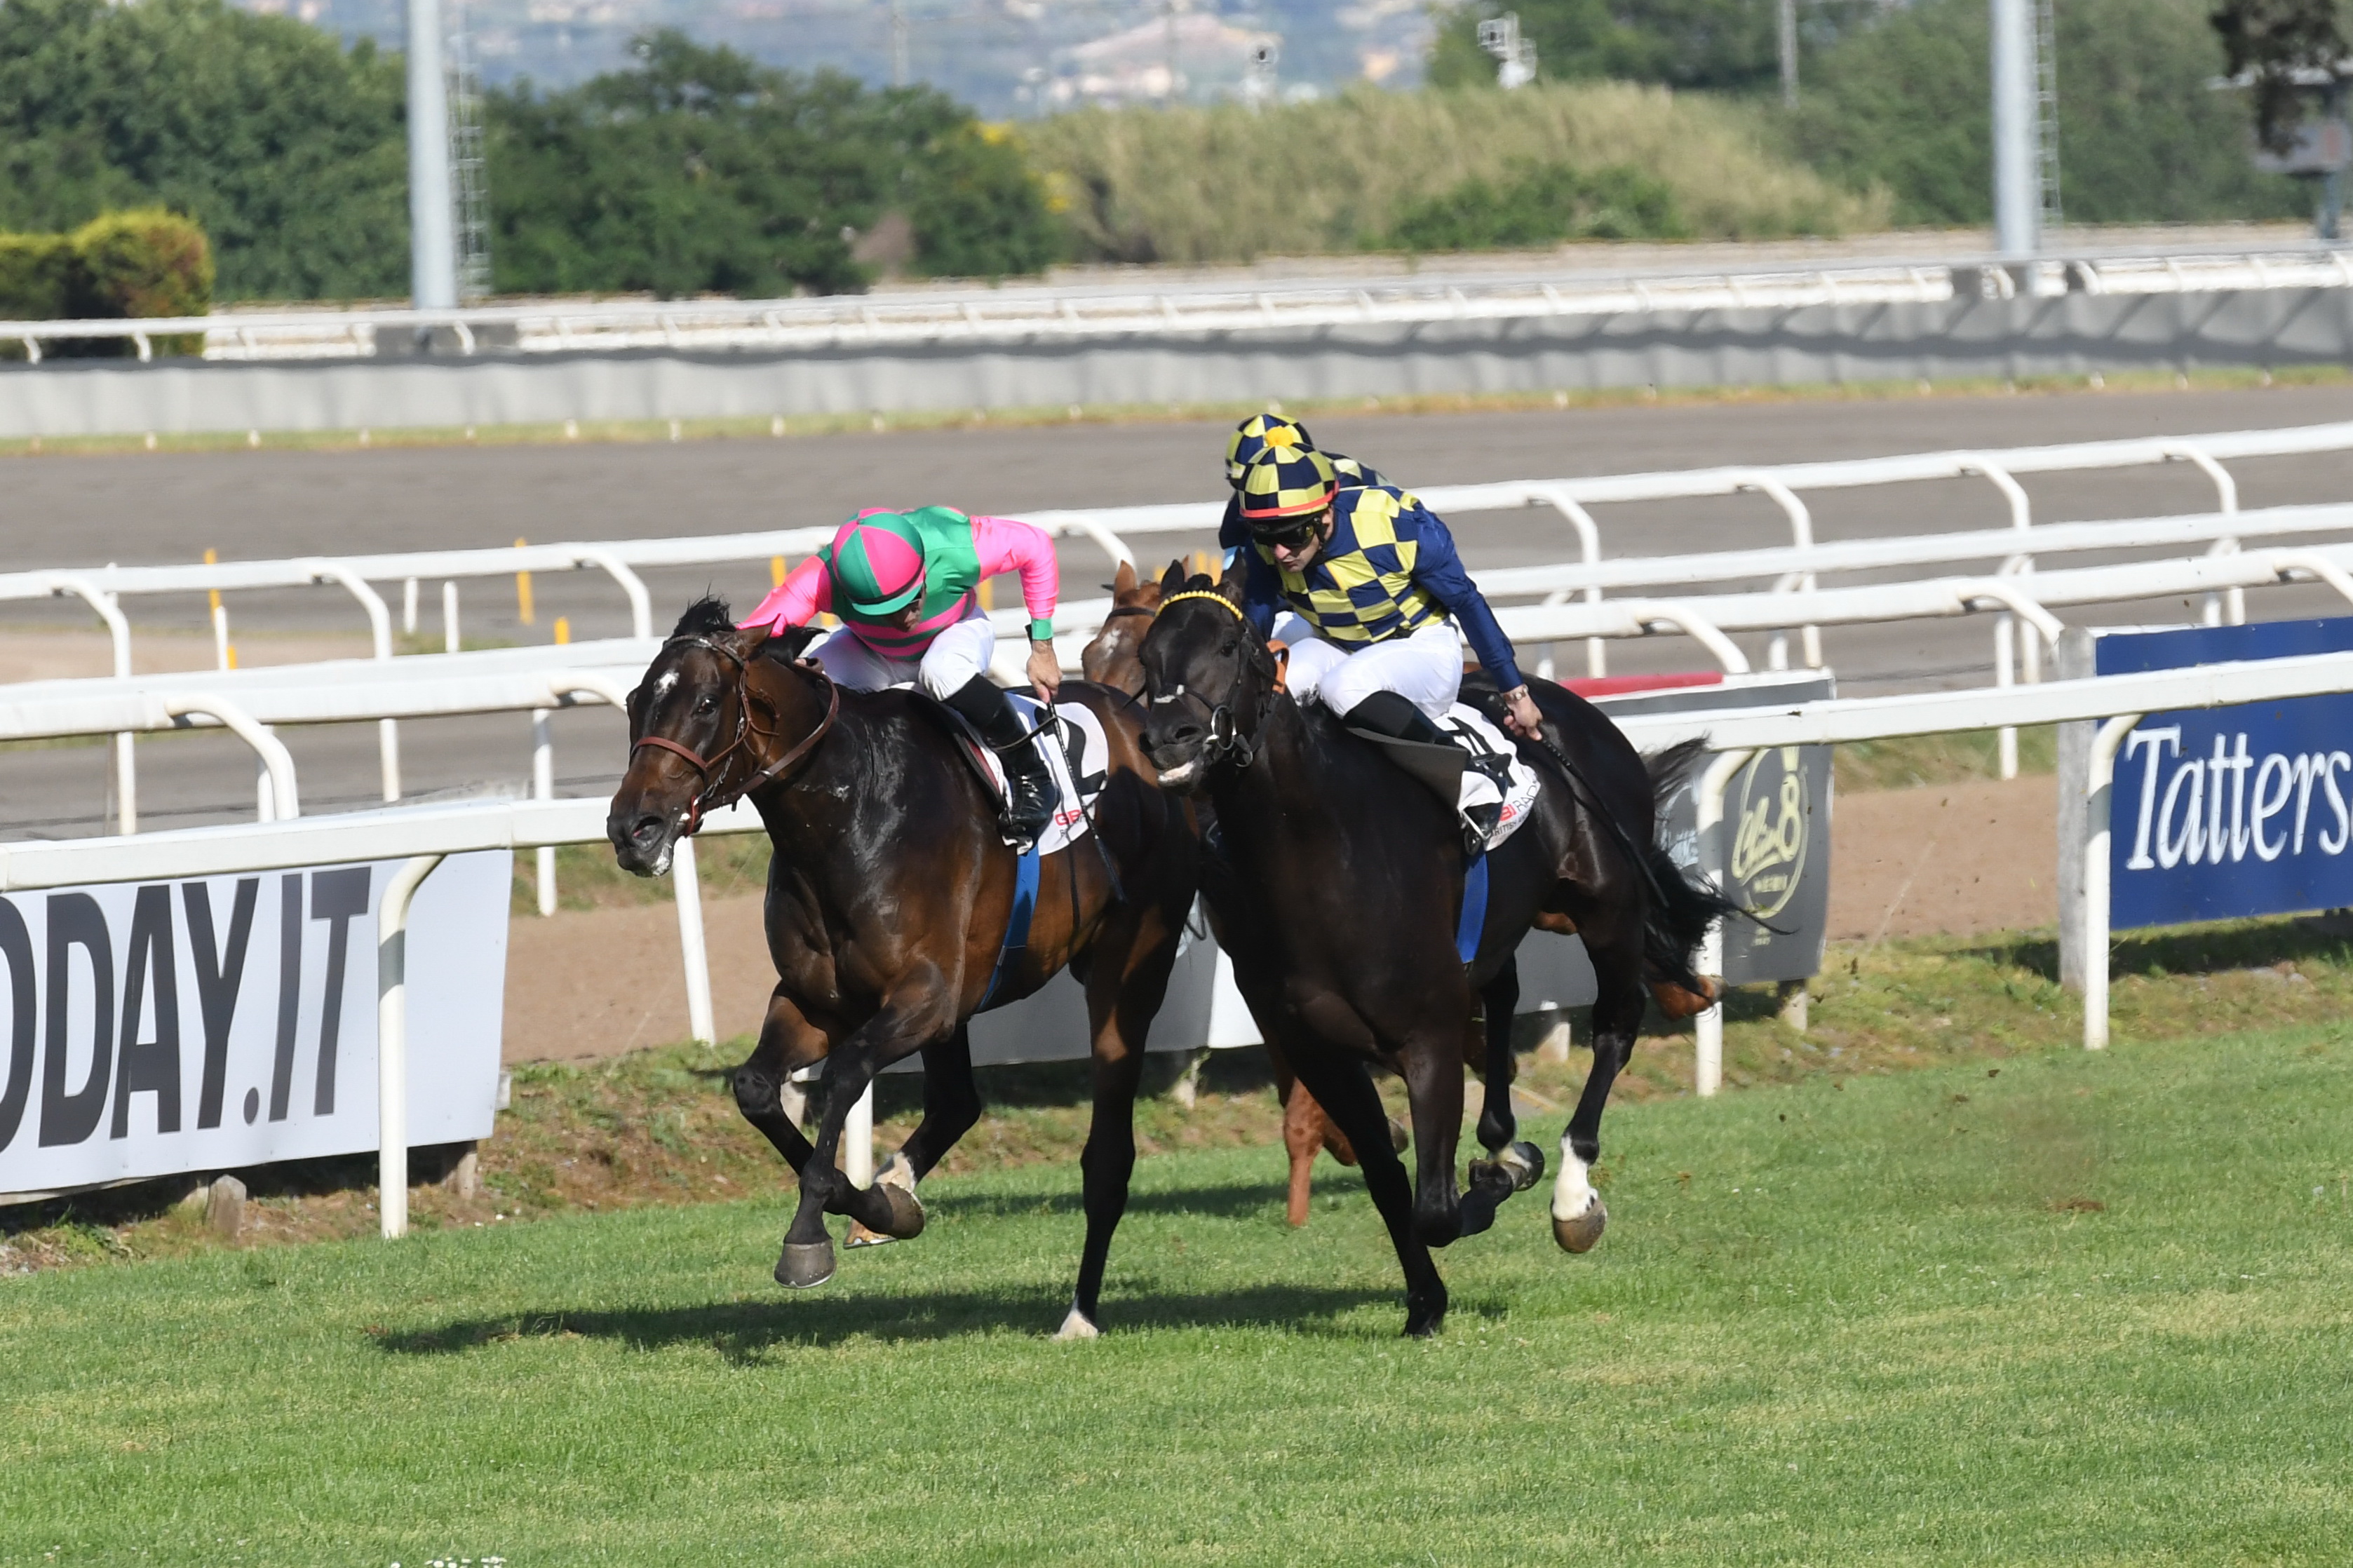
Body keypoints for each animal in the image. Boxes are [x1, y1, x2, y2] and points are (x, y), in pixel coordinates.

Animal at [612, 593, 1195, 1327]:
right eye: (634, 701)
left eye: (707, 703)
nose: (632, 829)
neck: (850, 815)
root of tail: (1137, 720)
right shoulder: (817, 1001)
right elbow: (754, 1087)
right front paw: (873, 1204)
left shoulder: (923, 997)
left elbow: (843, 1075)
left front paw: (809, 1234)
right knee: (957, 1103)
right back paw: (897, 1189)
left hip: (1127, 965)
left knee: (1107, 1154)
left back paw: (1080, 1314)